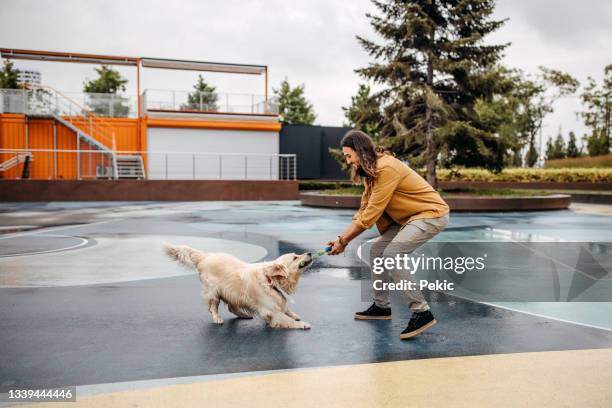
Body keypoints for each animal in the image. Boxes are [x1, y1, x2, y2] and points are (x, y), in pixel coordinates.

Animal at [165, 244, 314, 330]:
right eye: (295, 257)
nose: (309, 253)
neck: (270, 281)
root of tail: (205, 256)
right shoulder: (271, 311)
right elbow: (286, 319)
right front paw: (302, 324)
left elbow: (287, 308)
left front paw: (295, 315)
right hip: (214, 292)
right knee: (213, 307)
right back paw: (217, 318)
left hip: (233, 292)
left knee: (232, 307)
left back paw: (244, 314)